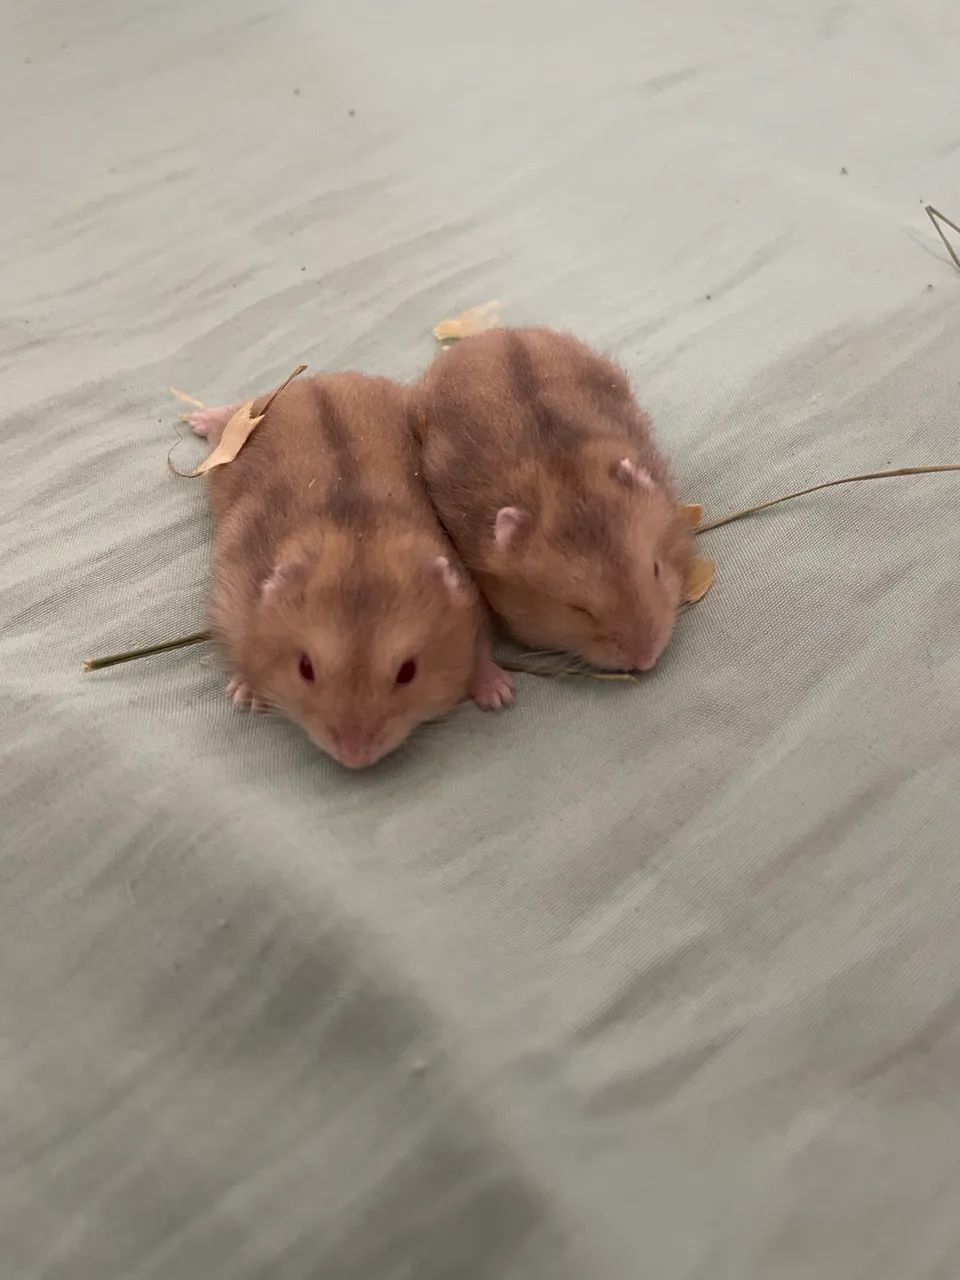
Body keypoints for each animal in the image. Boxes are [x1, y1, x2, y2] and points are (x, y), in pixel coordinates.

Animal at [187, 373, 512, 769]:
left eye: (408, 672)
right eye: (305, 668)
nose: (355, 759)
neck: (356, 535)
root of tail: (317, 379)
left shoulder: (469, 598)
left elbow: (479, 652)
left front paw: (500, 696)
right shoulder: (232, 592)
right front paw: (244, 696)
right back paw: (198, 418)